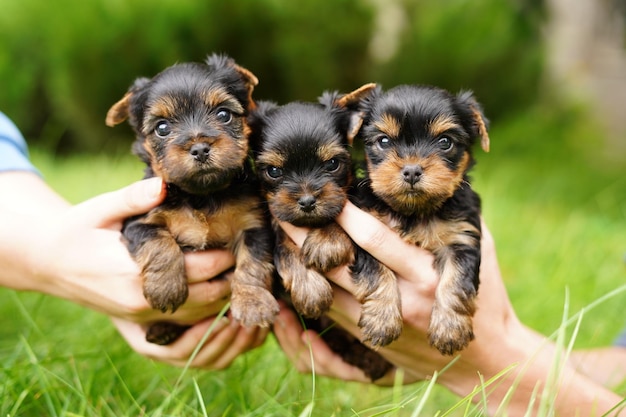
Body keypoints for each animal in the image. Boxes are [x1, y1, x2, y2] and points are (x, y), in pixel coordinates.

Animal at [106, 52, 276, 344]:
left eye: (223, 114)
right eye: (162, 128)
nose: (199, 148)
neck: (202, 196)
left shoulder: (253, 224)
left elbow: (253, 262)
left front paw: (253, 303)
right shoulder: (138, 221)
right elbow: (157, 242)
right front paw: (165, 289)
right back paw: (162, 330)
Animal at [250, 84, 404, 354]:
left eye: (332, 164)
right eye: (274, 171)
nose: (307, 201)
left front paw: (326, 241)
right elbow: (285, 250)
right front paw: (311, 291)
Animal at [352, 83, 488, 354]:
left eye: (445, 142)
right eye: (383, 141)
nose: (412, 170)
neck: (414, 212)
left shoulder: (461, 237)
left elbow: (456, 279)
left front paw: (450, 330)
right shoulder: (367, 227)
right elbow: (376, 271)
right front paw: (381, 321)